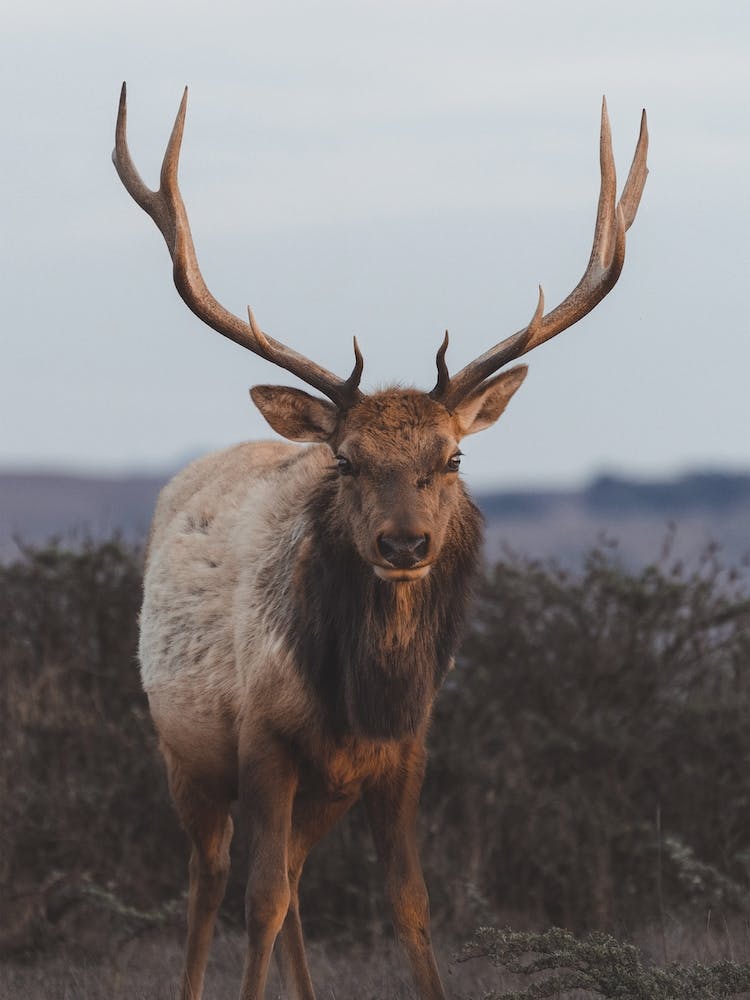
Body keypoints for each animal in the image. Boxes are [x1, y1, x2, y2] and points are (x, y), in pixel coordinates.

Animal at [112, 83, 647, 1000]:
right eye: (347, 459)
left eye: (453, 455)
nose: (404, 544)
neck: (361, 696)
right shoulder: (264, 741)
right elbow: (256, 899)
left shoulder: (401, 755)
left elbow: (408, 902)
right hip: (187, 751)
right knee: (212, 880)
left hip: (322, 790)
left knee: (292, 880)